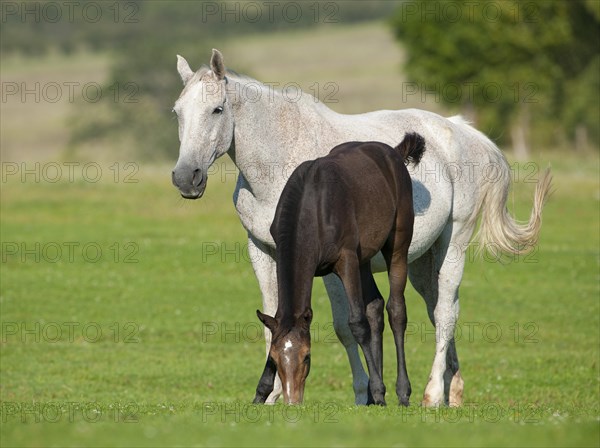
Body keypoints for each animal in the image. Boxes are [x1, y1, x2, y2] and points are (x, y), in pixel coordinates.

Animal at [253, 132, 426, 406]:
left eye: (307, 357)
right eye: (276, 359)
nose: (293, 401)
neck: (312, 206)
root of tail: (394, 153)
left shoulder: (346, 260)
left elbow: (357, 322)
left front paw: (378, 391)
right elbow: (277, 323)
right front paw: (261, 392)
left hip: (397, 245)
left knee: (396, 310)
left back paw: (400, 393)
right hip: (364, 259)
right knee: (375, 307)